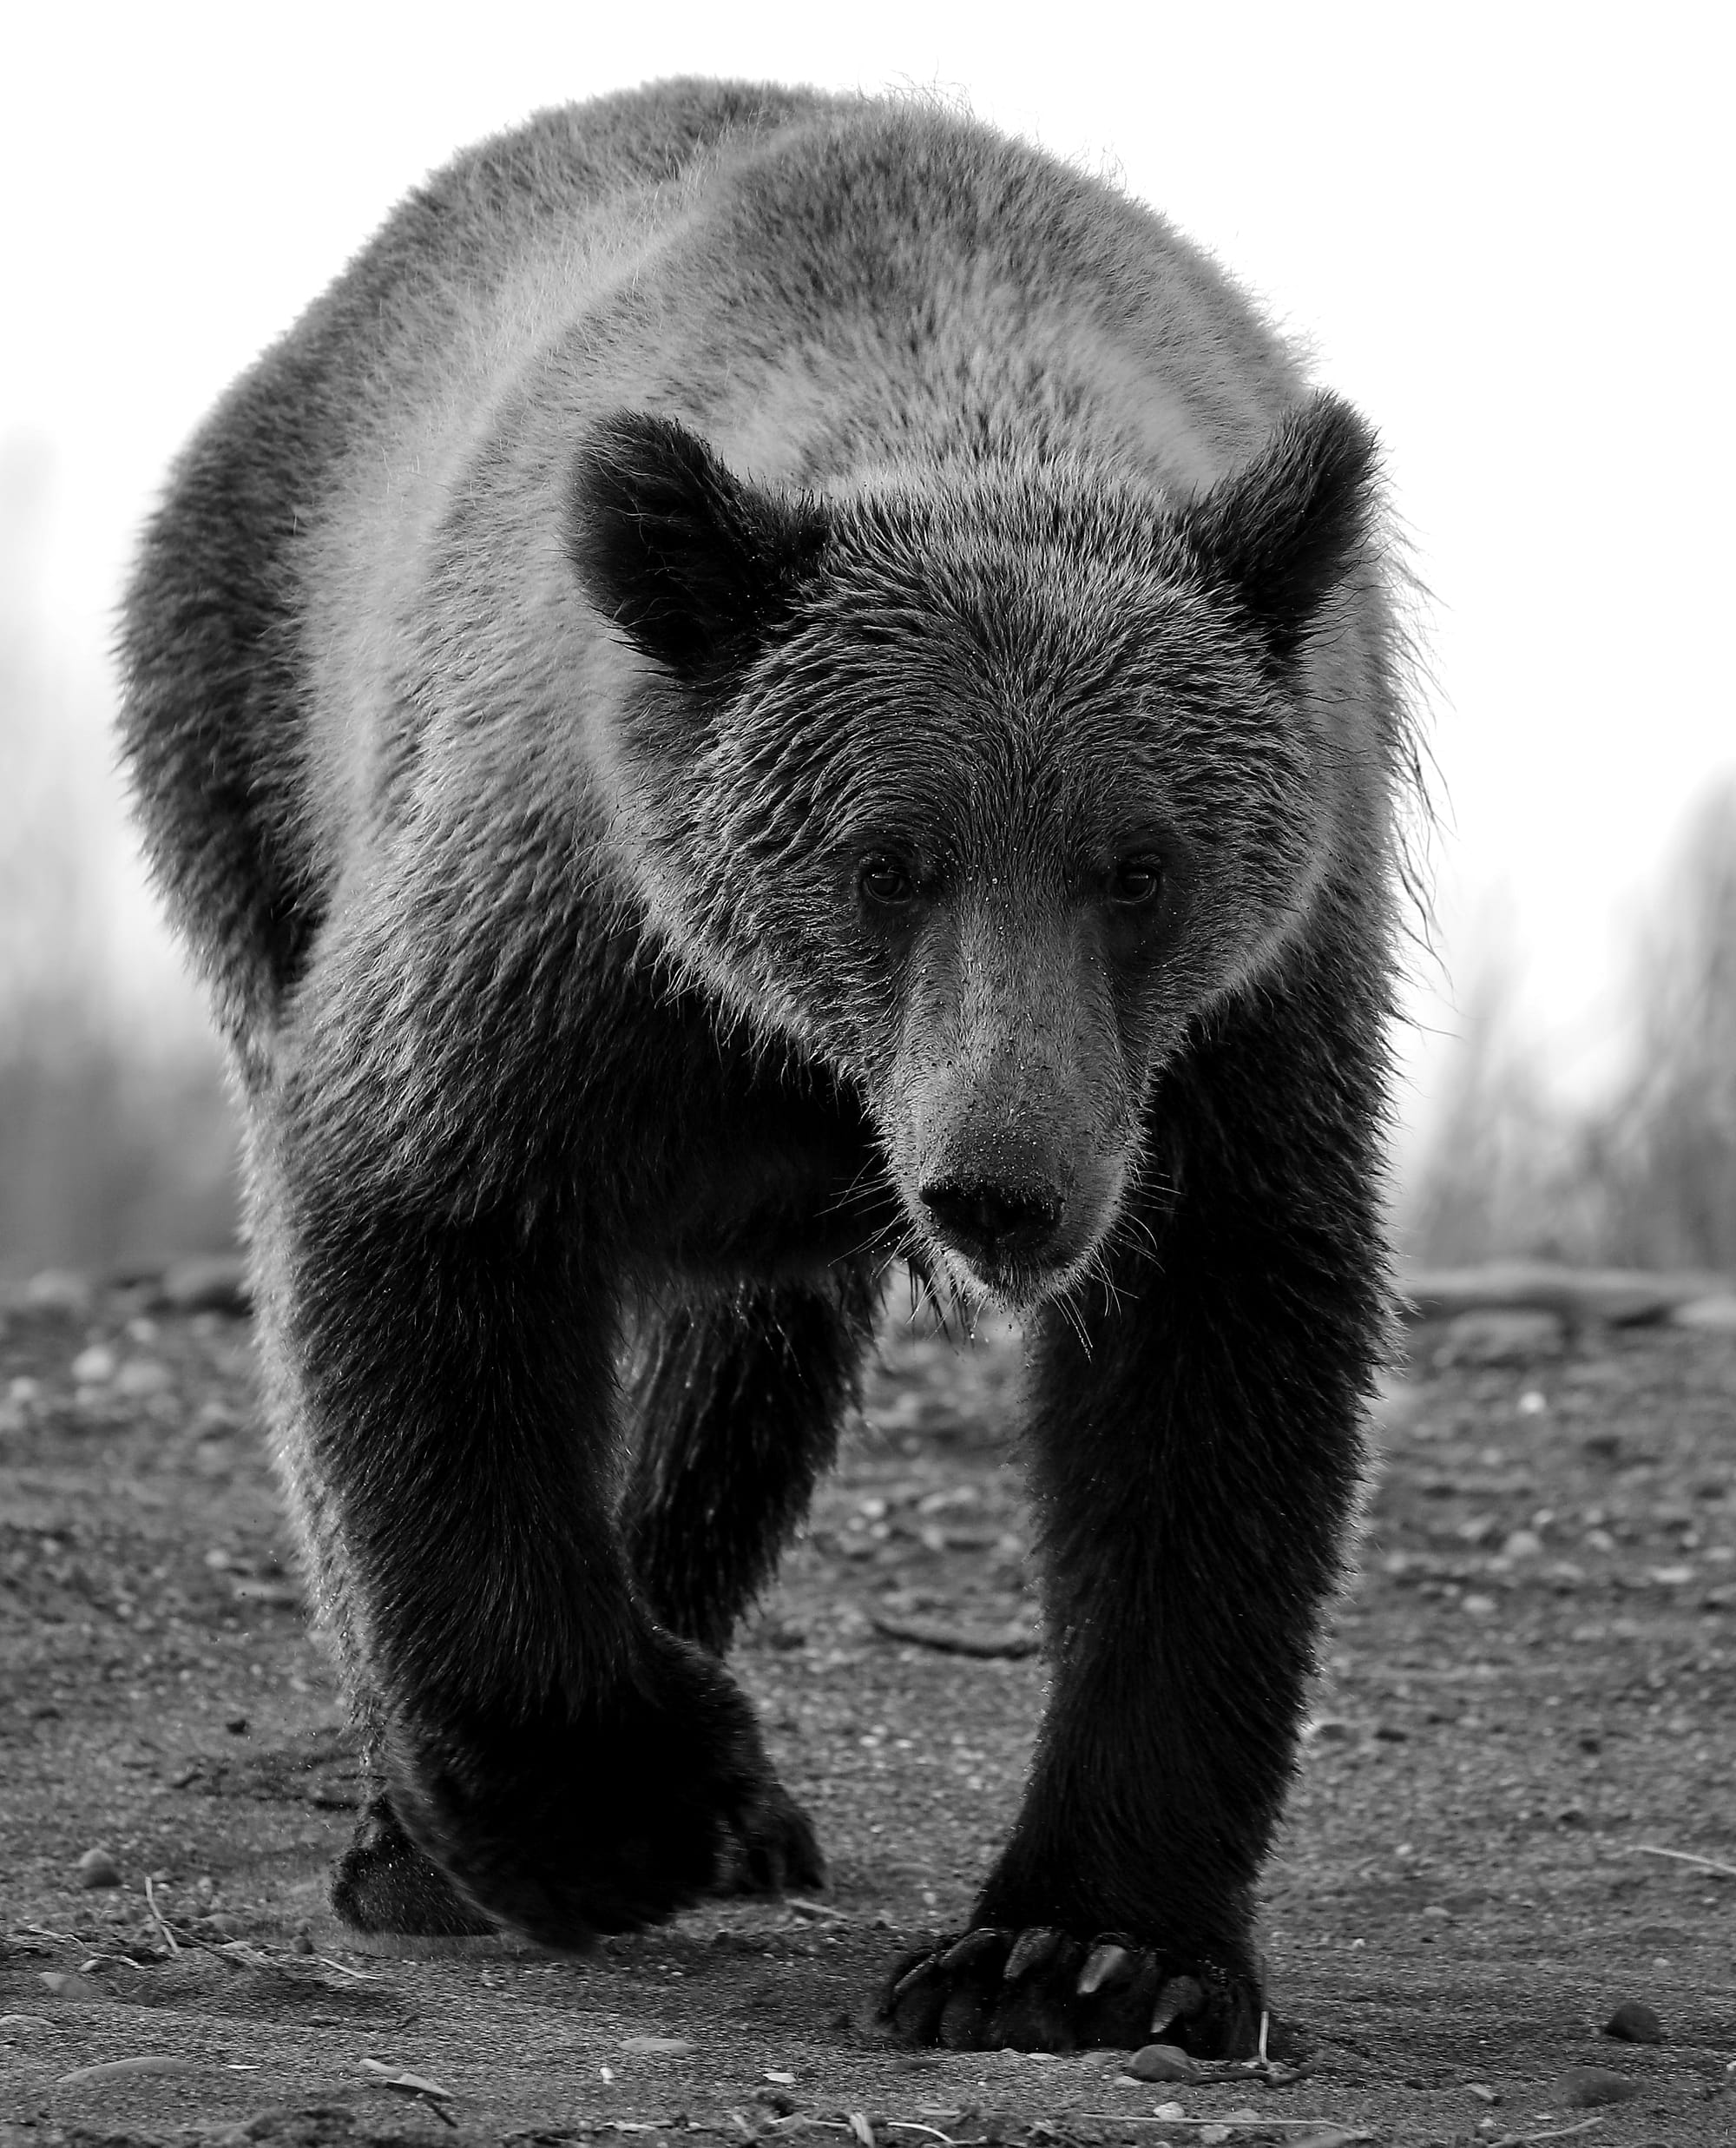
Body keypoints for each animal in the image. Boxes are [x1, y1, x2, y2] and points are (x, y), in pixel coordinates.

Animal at [125, 79, 1426, 2062]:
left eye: (1139, 864)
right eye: (887, 857)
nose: (1005, 1187)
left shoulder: (1240, 1028)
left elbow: (1216, 1378)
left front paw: (1079, 1952)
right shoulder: (562, 932)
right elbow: (411, 1224)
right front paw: (628, 1805)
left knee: (738, 1374)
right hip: (248, 713)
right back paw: (457, 1825)